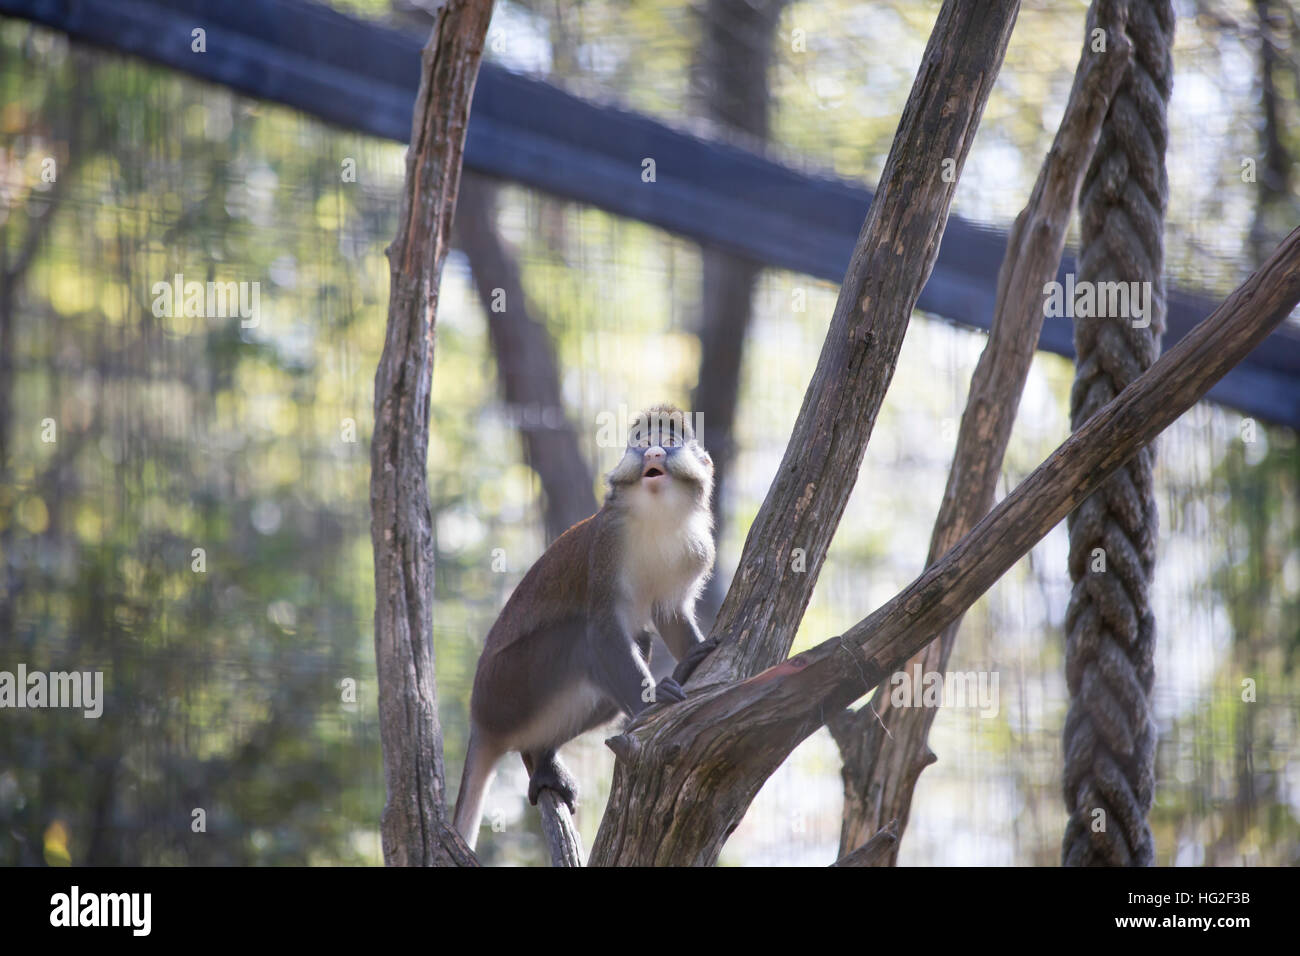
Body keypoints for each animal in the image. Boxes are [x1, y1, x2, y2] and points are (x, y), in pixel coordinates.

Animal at [452, 404, 718, 849]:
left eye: (670, 441)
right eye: (642, 443)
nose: (654, 453)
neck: (658, 515)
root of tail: (480, 725)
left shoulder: (696, 551)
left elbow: (669, 614)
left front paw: (696, 655)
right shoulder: (607, 544)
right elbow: (603, 628)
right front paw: (655, 701)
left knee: (638, 642)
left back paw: (542, 758)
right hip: (507, 688)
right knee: (583, 639)